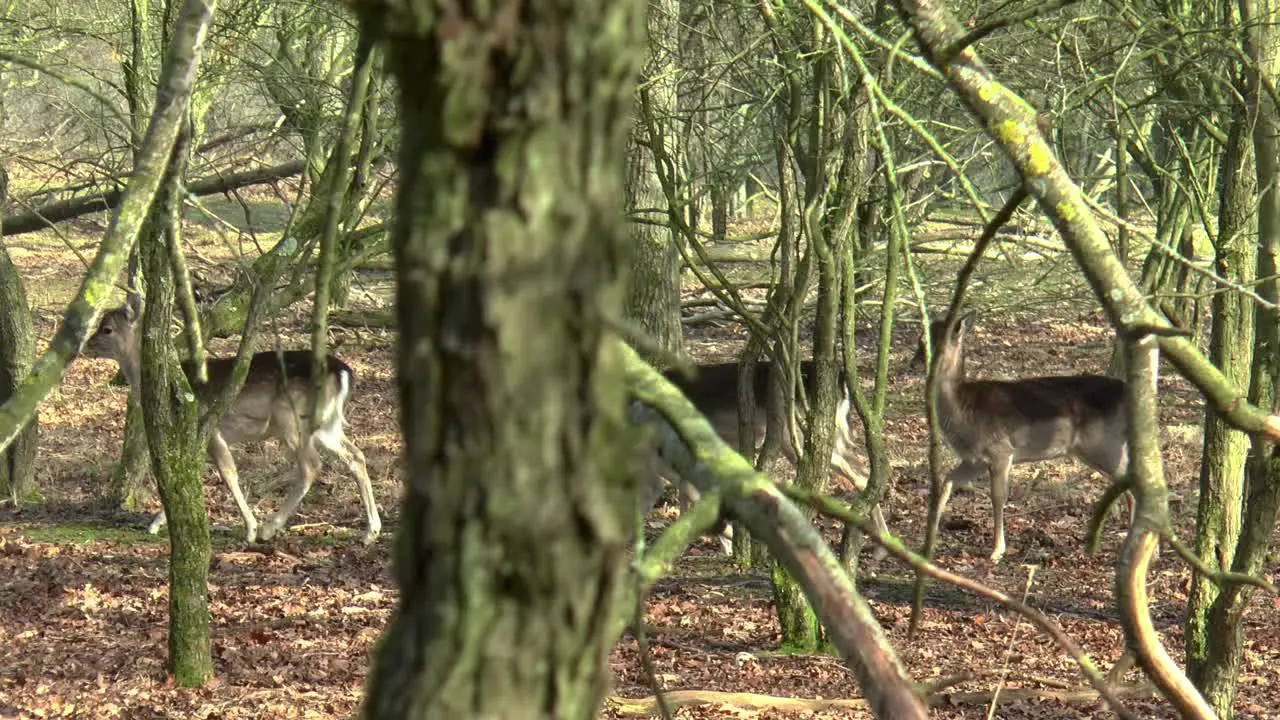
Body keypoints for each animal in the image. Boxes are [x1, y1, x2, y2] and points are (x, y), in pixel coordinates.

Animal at [81, 302, 373, 543]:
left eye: (107, 328)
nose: (85, 346)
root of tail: (344, 373)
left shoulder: (208, 427)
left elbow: (227, 473)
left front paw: (250, 529)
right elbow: (185, 474)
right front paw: (156, 523)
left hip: (290, 418)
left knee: (312, 465)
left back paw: (268, 528)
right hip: (327, 424)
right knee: (356, 456)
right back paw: (371, 531)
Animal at [911, 311, 1131, 563]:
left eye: (933, 343)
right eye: (920, 339)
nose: (913, 364)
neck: (965, 412)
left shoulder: (1001, 450)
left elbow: (998, 497)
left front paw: (997, 551)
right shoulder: (974, 460)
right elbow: (946, 483)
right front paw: (927, 544)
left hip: (1107, 446)